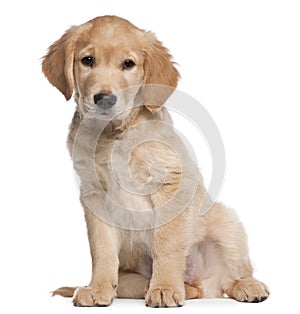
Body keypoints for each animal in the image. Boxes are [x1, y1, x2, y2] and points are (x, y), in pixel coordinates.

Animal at [42, 15, 270, 306]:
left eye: (128, 64)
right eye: (87, 60)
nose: (104, 98)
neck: (113, 135)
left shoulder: (171, 183)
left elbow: (167, 243)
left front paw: (165, 288)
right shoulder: (94, 195)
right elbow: (101, 249)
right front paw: (97, 289)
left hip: (226, 223)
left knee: (232, 276)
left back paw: (246, 286)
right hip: (129, 277)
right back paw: (181, 288)